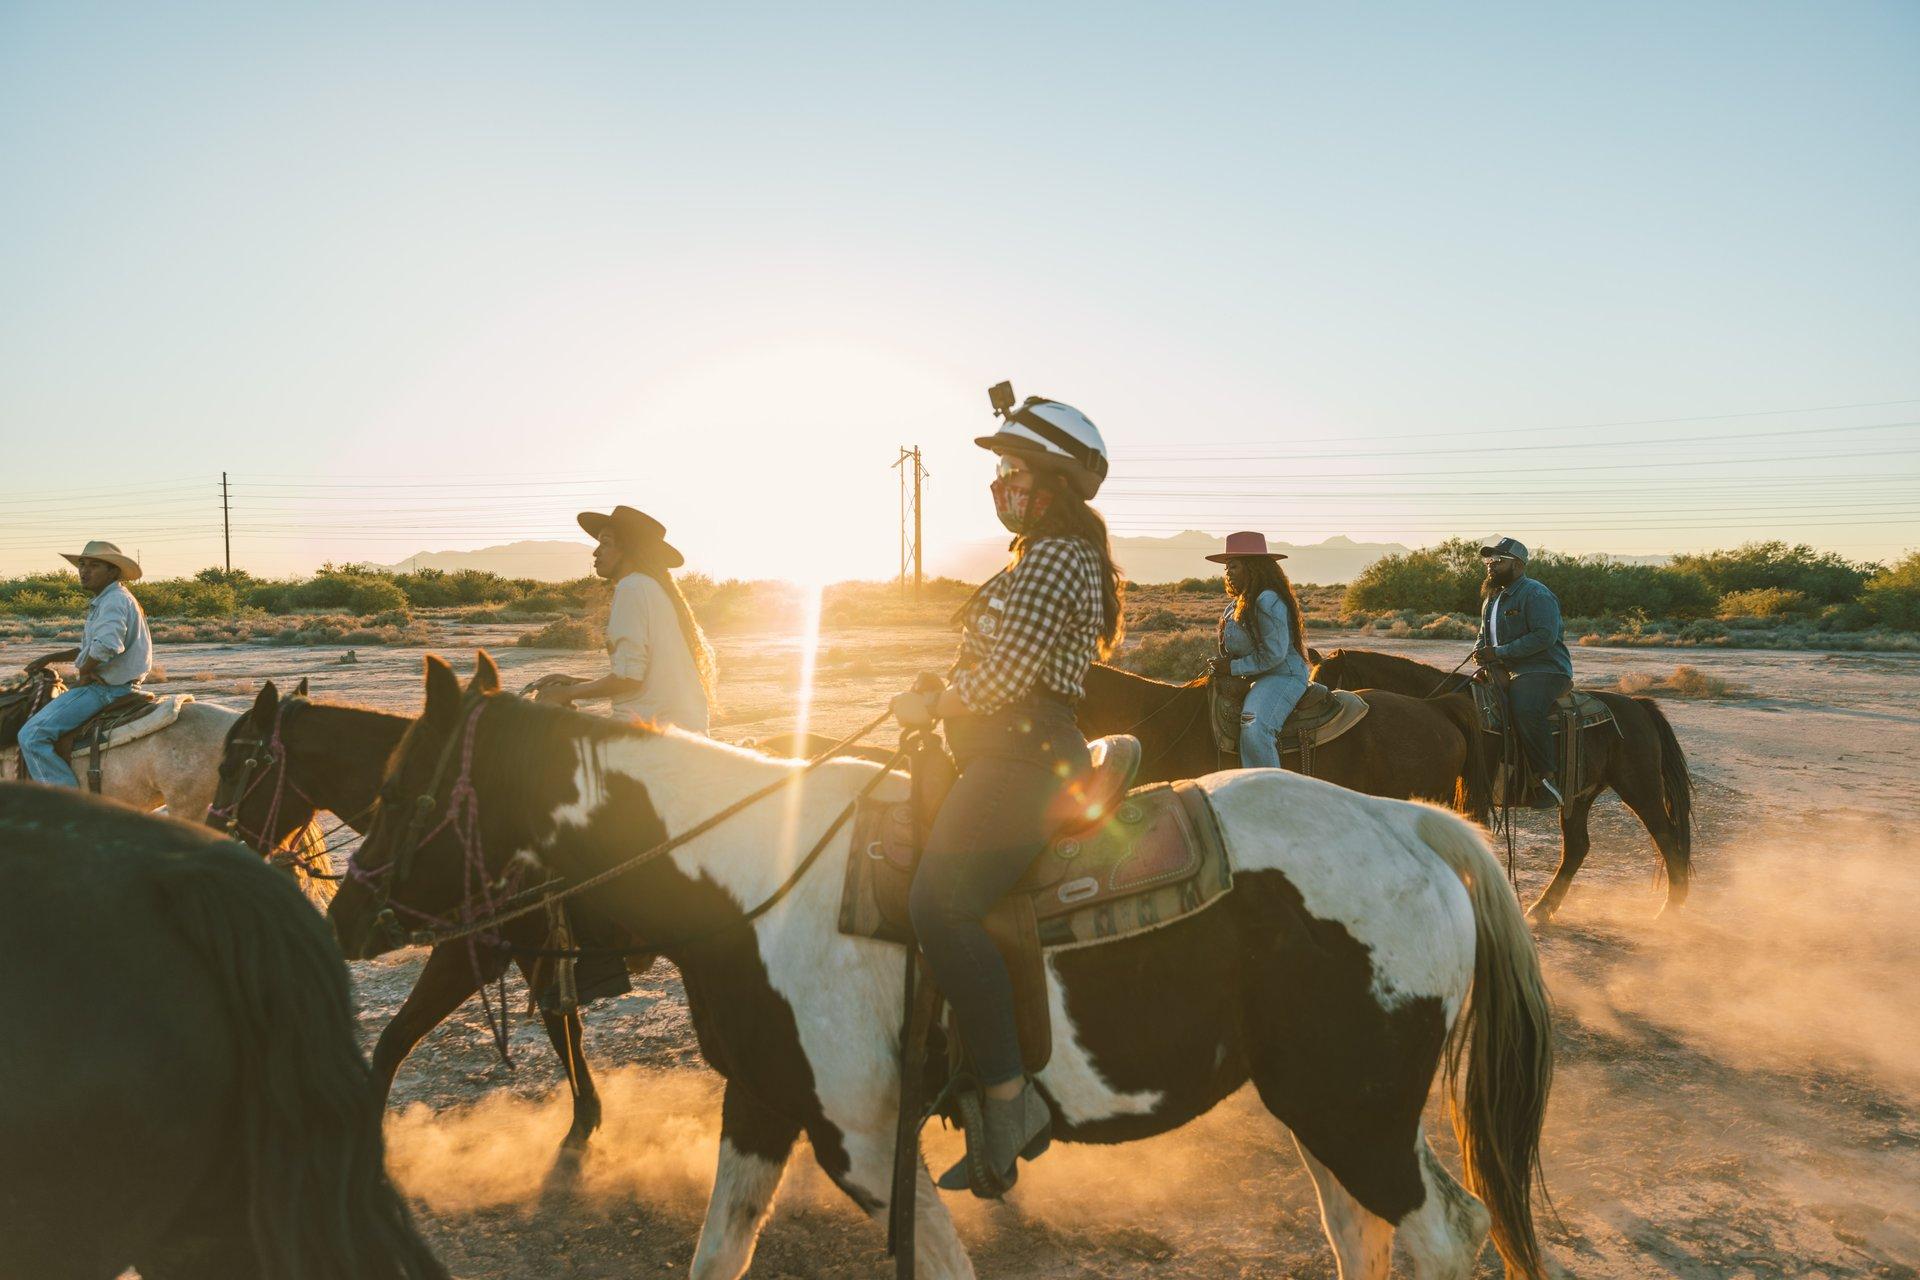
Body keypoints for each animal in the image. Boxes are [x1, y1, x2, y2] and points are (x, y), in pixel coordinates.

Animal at [208, 675, 637, 1159]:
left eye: (228, 770)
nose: (212, 832)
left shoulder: (470, 953)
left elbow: (395, 1040)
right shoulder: (523, 948)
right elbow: (562, 1027)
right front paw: (586, 1117)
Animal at [334, 652, 1559, 1280]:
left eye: (396, 787)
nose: (344, 915)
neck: (750, 875)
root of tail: (1409, 825)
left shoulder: (865, 1139)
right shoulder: (765, 1104)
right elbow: (719, 1250)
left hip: (1351, 1107)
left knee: (1434, 1231)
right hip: (1332, 1105)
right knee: (1376, 1228)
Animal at [1313, 644, 1689, 924]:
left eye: (1329, 686)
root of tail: (1639, 707)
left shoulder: (1468, 796)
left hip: (1639, 787)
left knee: (1666, 835)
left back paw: (1671, 907)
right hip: (1580, 795)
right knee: (1577, 847)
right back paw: (1542, 908)